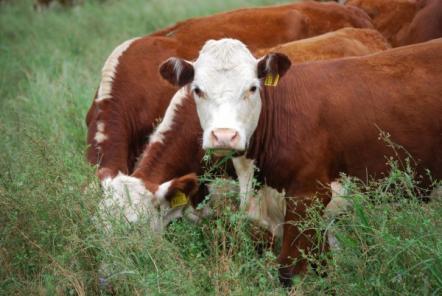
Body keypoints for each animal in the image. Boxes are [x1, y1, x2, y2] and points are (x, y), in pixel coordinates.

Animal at [159, 38, 442, 286]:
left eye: (252, 88)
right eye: (198, 90)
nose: (225, 136)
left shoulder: (308, 197)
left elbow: (289, 270)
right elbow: (323, 266)